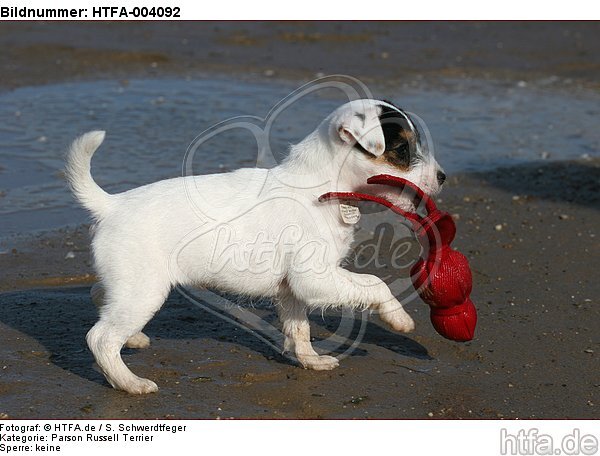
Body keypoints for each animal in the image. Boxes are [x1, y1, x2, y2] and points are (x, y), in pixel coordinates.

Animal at [67, 98, 446, 394]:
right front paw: (398, 318)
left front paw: (309, 360)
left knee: (101, 298)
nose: (443, 177)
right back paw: (129, 383)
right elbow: (374, 283)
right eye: (402, 151)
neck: (317, 187)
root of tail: (112, 205)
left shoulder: (293, 290)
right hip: (144, 291)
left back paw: (133, 339)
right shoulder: (315, 278)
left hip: (129, 287)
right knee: (100, 338)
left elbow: (299, 327)